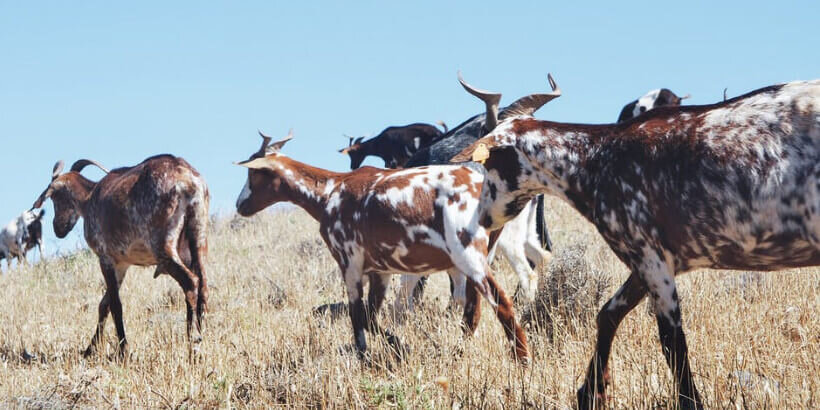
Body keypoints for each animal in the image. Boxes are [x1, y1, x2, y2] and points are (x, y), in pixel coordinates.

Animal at [32, 156, 210, 358]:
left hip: (163, 246)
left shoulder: (105, 258)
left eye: (55, 198)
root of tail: (189, 182)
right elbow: (104, 305)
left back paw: (192, 339)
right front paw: (90, 349)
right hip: (198, 235)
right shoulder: (122, 264)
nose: (58, 228)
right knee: (203, 285)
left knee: (190, 281)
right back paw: (200, 335)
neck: (89, 199)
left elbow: (116, 305)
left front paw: (123, 349)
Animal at [236, 130, 529, 361]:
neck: (330, 191)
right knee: (473, 310)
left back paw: (522, 360)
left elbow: (357, 318)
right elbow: (371, 317)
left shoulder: (350, 264)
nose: (240, 205)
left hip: (469, 256)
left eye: (253, 171)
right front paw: (398, 344)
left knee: (502, 303)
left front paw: (366, 355)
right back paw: (460, 352)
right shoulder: (381, 271)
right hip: (480, 257)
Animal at [453, 76, 820, 409]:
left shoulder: (649, 257)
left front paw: (688, 402)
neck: (597, 158)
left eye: (489, 165)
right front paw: (592, 392)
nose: (483, 218)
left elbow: (671, 341)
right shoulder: (651, 261)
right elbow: (608, 314)